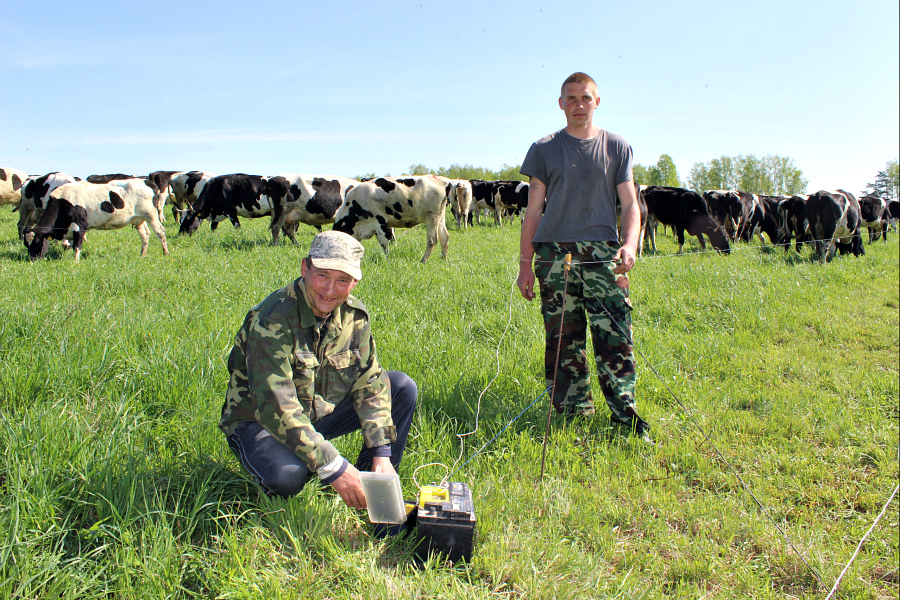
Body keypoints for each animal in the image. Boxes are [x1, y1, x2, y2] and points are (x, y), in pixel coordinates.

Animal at [24, 179, 169, 262]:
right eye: (27, 245)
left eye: (37, 242)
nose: (32, 260)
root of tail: (147, 182)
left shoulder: (80, 226)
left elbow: (77, 246)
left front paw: (76, 263)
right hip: (138, 219)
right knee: (145, 235)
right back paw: (142, 255)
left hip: (151, 214)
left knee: (160, 232)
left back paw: (165, 253)